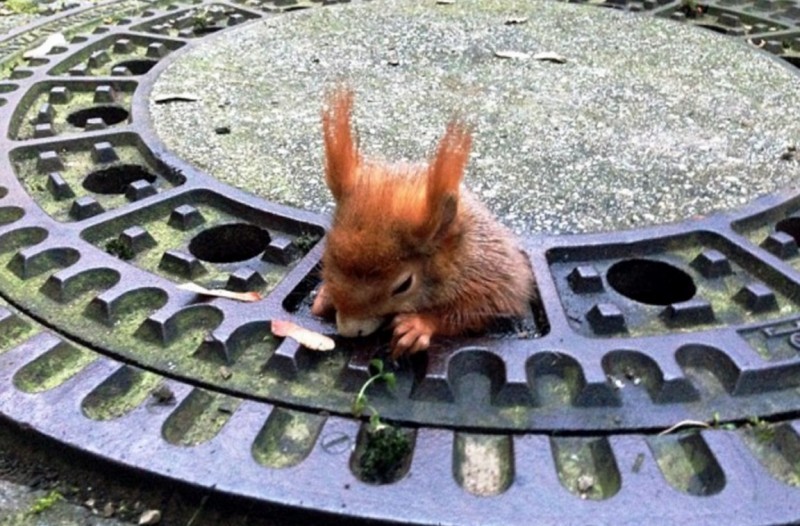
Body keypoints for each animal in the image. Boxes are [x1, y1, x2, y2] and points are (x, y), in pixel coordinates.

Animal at [310, 91, 536, 360]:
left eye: (404, 285)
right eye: (326, 256)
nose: (349, 330)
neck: (455, 254)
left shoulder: (488, 274)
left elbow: (478, 309)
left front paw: (417, 326)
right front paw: (324, 297)